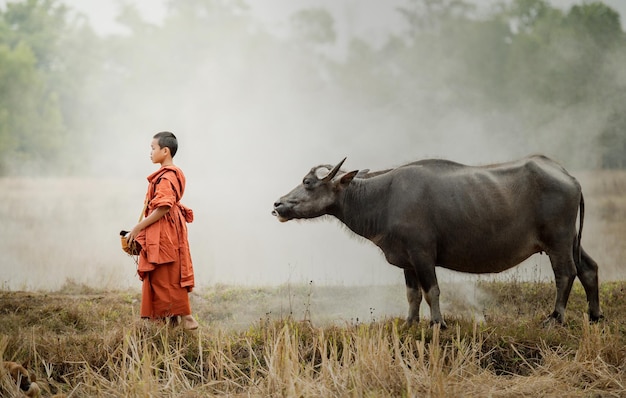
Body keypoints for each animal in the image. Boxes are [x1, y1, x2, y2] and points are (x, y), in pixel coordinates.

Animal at [272, 155, 600, 326]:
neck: (383, 198)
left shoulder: (422, 255)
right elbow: (412, 294)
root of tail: (568, 176)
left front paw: (437, 323)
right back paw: (595, 315)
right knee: (589, 268)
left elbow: (432, 291)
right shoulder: (406, 260)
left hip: (557, 241)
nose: (277, 204)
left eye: (308, 183)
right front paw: (409, 323)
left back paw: (555, 318)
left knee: (565, 274)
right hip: (571, 239)